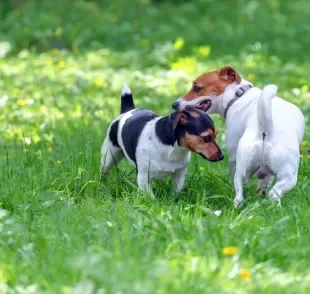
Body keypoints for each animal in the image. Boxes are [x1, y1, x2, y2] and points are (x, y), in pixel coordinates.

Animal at [172, 66, 306, 208]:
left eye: (197, 88)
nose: (174, 105)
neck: (238, 95)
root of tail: (266, 128)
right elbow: (264, 184)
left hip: (243, 166)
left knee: (247, 194)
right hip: (287, 176)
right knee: (267, 193)